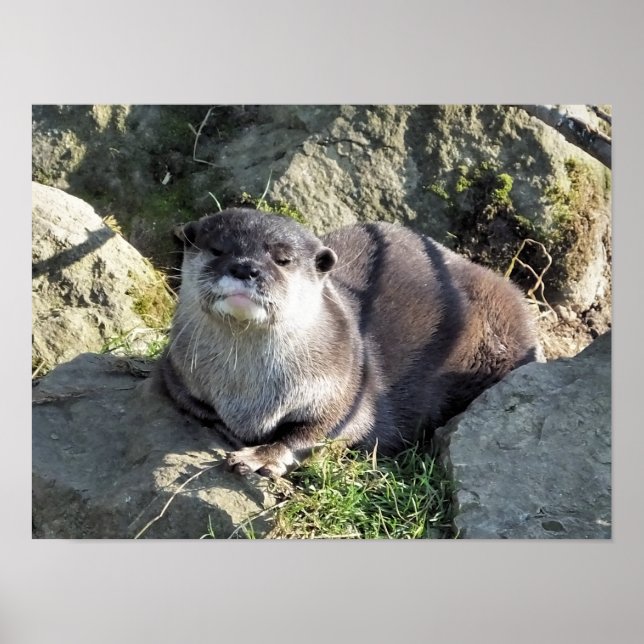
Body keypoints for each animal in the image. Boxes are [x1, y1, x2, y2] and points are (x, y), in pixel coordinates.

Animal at [158, 208, 539, 477]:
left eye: (282, 259)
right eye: (217, 249)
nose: (245, 268)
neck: (247, 396)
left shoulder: (347, 387)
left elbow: (319, 431)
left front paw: (261, 456)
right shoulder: (175, 370)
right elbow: (199, 408)